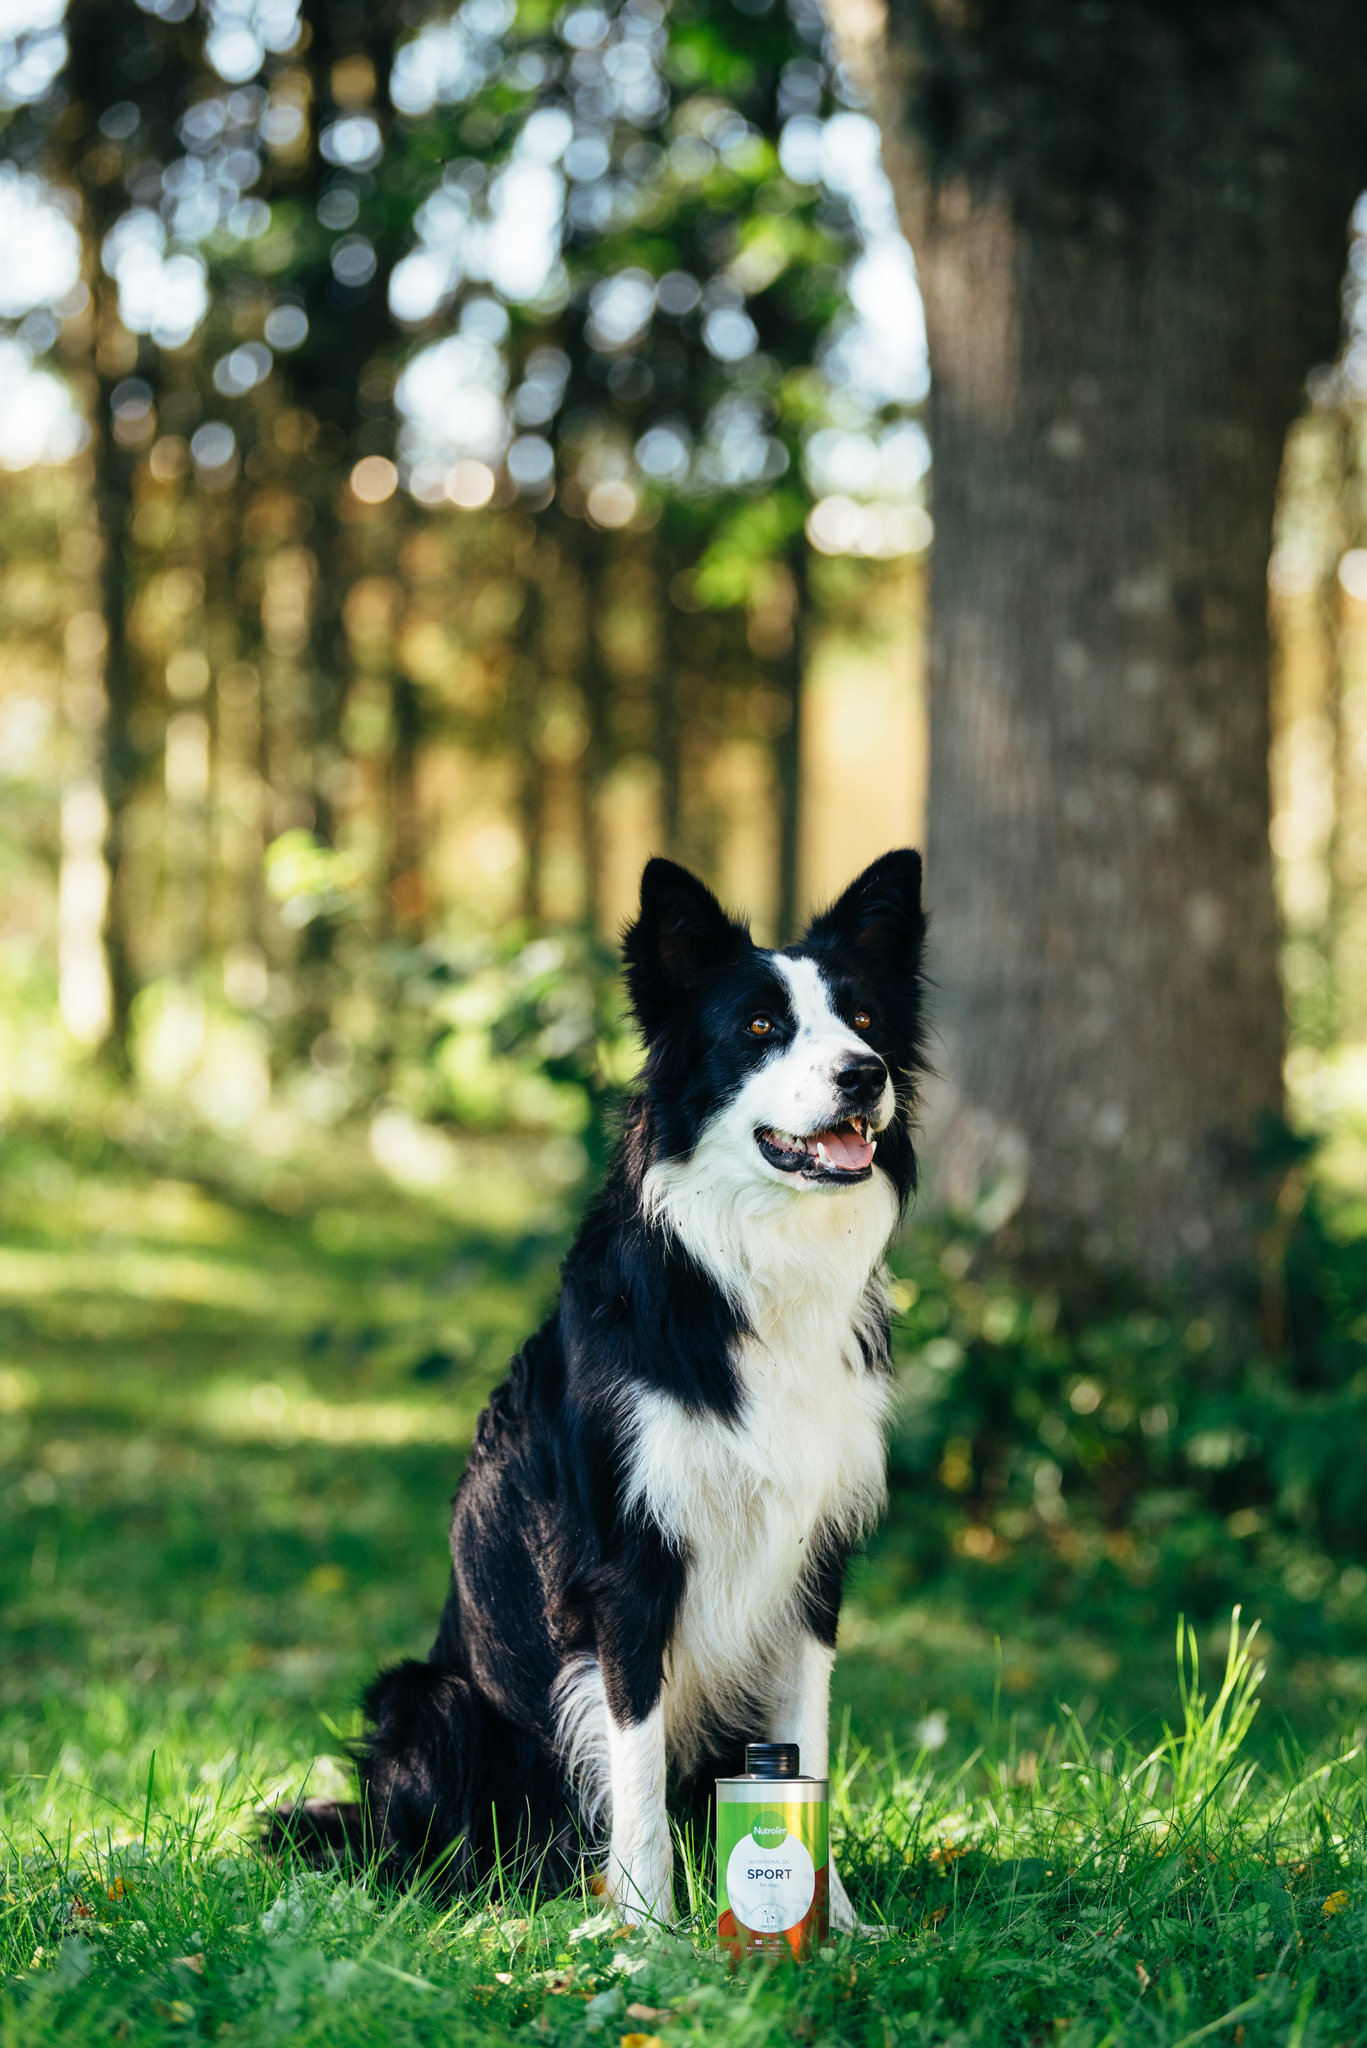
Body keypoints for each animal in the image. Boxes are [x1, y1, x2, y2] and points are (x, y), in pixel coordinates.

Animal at [297, 843, 926, 1916]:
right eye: (759, 1027)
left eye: (867, 1020)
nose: (862, 1074)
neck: (746, 1275)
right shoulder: (624, 1569)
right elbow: (632, 1761)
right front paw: (648, 1926)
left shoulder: (812, 1565)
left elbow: (808, 1745)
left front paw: (833, 1917)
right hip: (430, 1698)